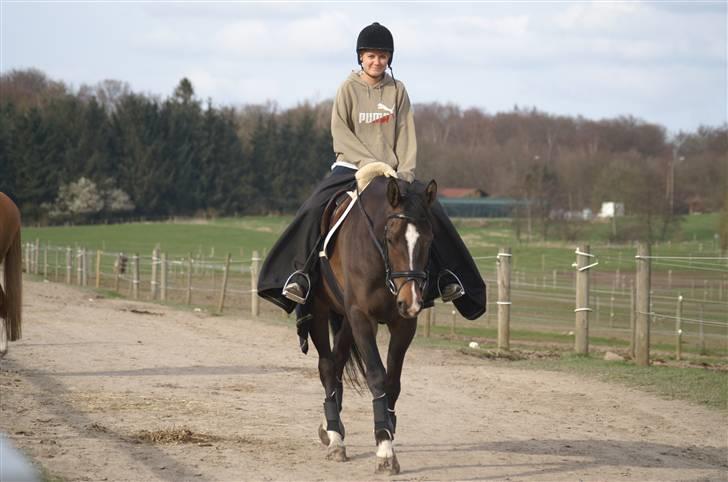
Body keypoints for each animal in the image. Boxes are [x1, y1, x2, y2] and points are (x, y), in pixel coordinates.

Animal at [306, 168, 436, 476]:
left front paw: (387, 430)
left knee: (337, 363)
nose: (411, 301)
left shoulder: (402, 325)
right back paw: (335, 440)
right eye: (391, 238)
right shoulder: (361, 317)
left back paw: (331, 428)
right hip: (321, 311)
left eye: (429, 239)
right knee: (327, 366)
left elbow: (393, 383)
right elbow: (377, 377)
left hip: (347, 323)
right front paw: (386, 452)